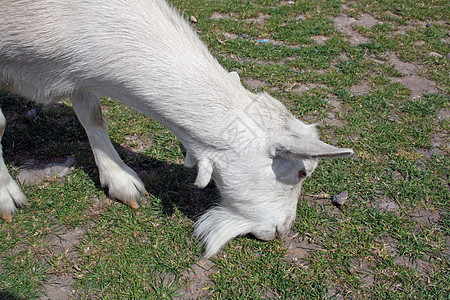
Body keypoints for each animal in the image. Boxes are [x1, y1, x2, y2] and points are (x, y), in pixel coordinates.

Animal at [0, 0, 352, 258]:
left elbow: (92, 114)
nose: (284, 231)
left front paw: (118, 178)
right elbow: (2, 123)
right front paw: (5, 194)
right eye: (302, 172)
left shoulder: (78, 72)